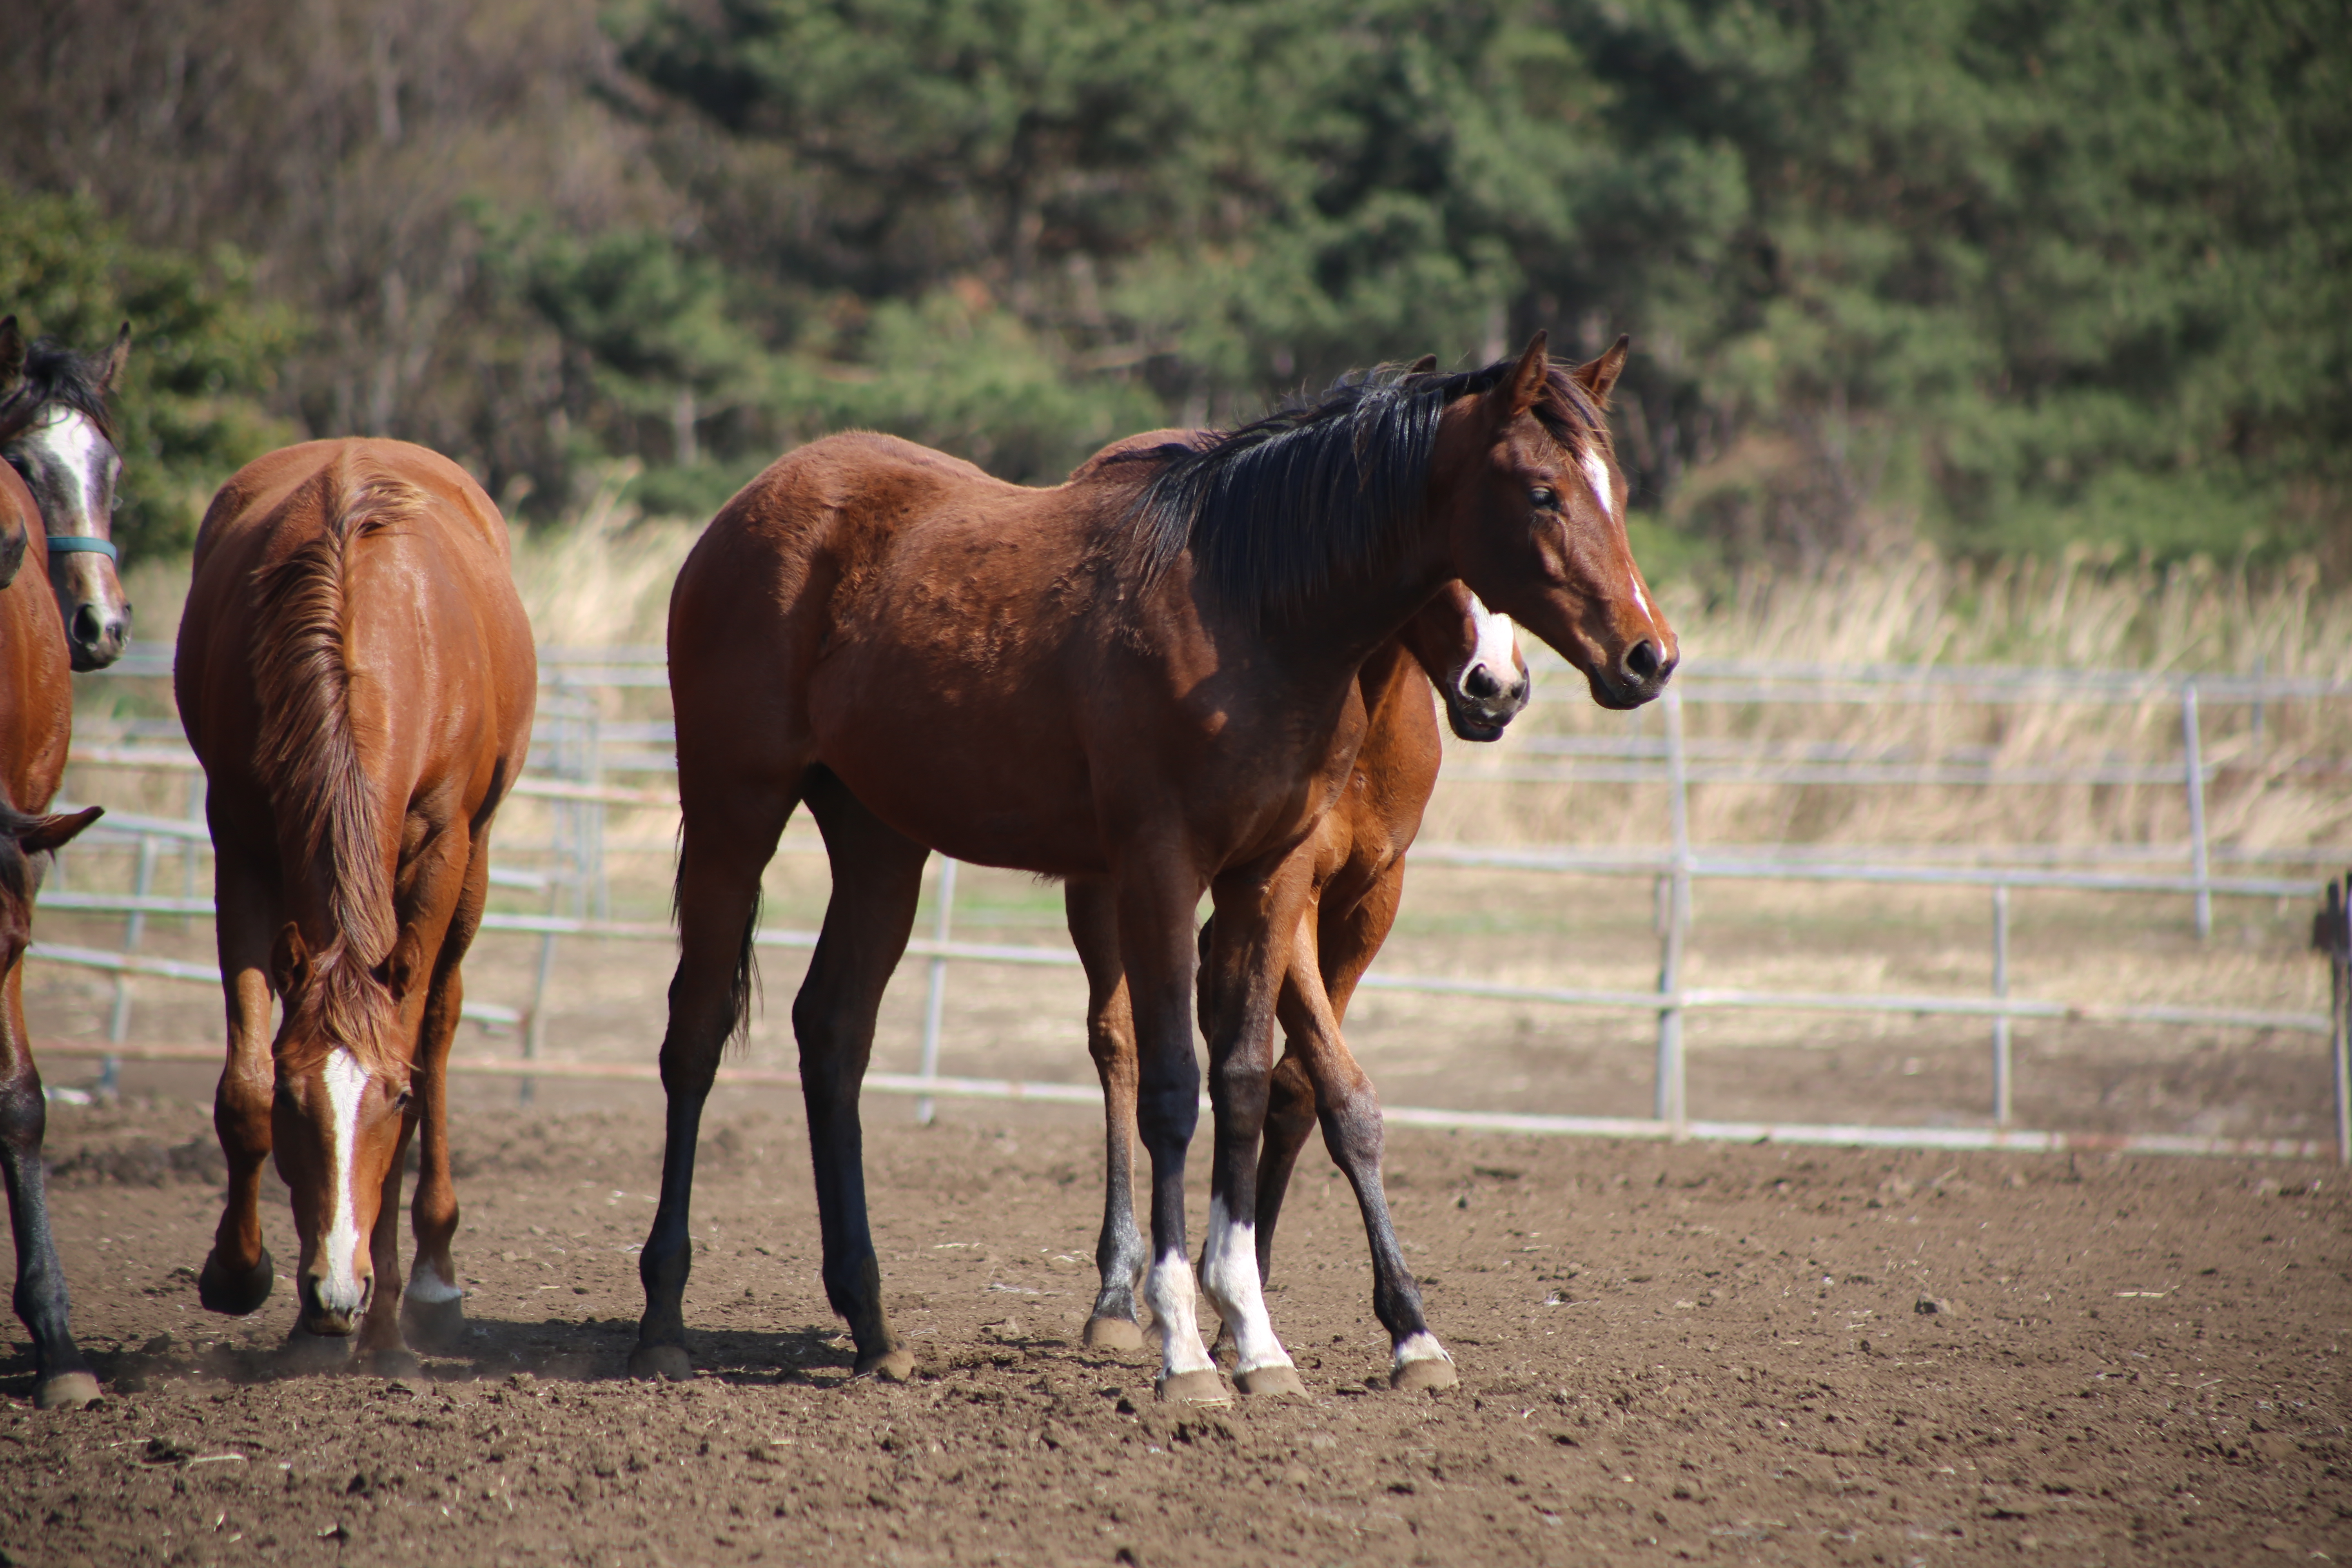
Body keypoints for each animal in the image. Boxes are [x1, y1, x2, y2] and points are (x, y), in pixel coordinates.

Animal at [178, 442, 539, 1373]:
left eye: (393, 1101)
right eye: (297, 1100)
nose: (336, 1295)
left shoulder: (444, 847)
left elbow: (415, 1047)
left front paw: (382, 1326)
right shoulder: (240, 841)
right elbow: (242, 1086)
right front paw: (241, 1275)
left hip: (476, 867)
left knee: (441, 1027)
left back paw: (432, 1285)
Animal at [644, 329, 1675, 1401]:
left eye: (1615, 487)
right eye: (1541, 491)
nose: (1647, 657)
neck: (1250, 608)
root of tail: (748, 508)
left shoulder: (1270, 878)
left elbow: (1249, 1080)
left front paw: (1256, 1338)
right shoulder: (1162, 868)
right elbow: (1176, 1086)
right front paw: (1185, 1343)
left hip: (880, 840)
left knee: (834, 1033)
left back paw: (874, 1327)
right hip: (733, 813)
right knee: (695, 1034)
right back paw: (663, 1320)